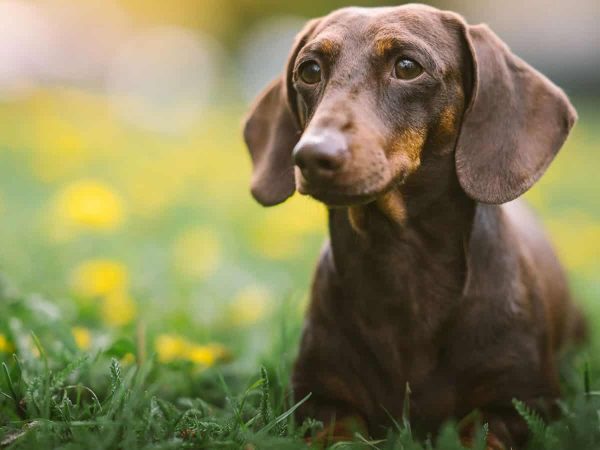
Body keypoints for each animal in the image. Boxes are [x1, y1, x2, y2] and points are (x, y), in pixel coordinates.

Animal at [241, 2, 584, 446]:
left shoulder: (518, 404)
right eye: (310, 70)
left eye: (407, 66)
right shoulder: (320, 401)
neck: (400, 268)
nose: (312, 156)